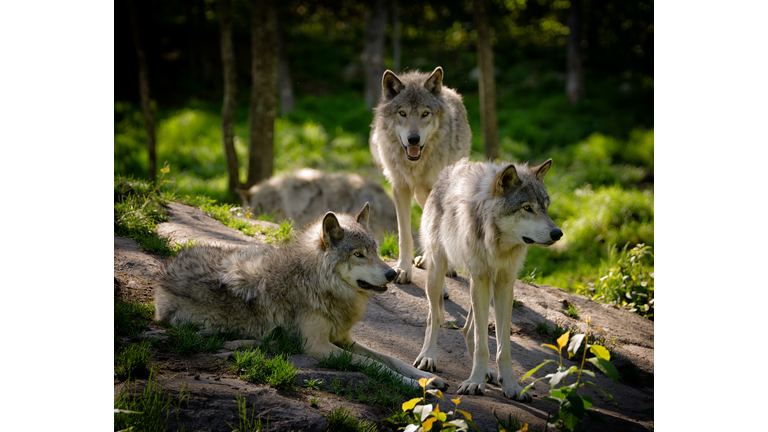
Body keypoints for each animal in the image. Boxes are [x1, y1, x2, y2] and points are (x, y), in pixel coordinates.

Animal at [154, 202, 448, 388]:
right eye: (358, 254)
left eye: (375, 251)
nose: (391, 274)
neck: (314, 280)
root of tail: (164, 269)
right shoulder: (318, 346)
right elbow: (375, 365)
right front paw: (415, 385)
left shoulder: (344, 338)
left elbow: (391, 358)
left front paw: (427, 378)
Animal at [368, 66, 472, 290]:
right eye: (402, 113)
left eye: (425, 114)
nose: (413, 139)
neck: (415, 165)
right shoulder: (400, 187)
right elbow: (405, 235)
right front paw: (402, 270)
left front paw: (440, 286)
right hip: (419, 194)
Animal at [414, 159, 564, 402]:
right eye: (527, 208)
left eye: (545, 207)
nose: (557, 233)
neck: (497, 244)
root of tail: (447, 171)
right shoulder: (481, 279)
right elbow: (482, 344)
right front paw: (475, 382)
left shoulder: (504, 283)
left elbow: (503, 347)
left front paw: (510, 385)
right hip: (438, 272)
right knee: (434, 317)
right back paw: (428, 357)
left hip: (483, 287)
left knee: (467, 331)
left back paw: (488, 372)